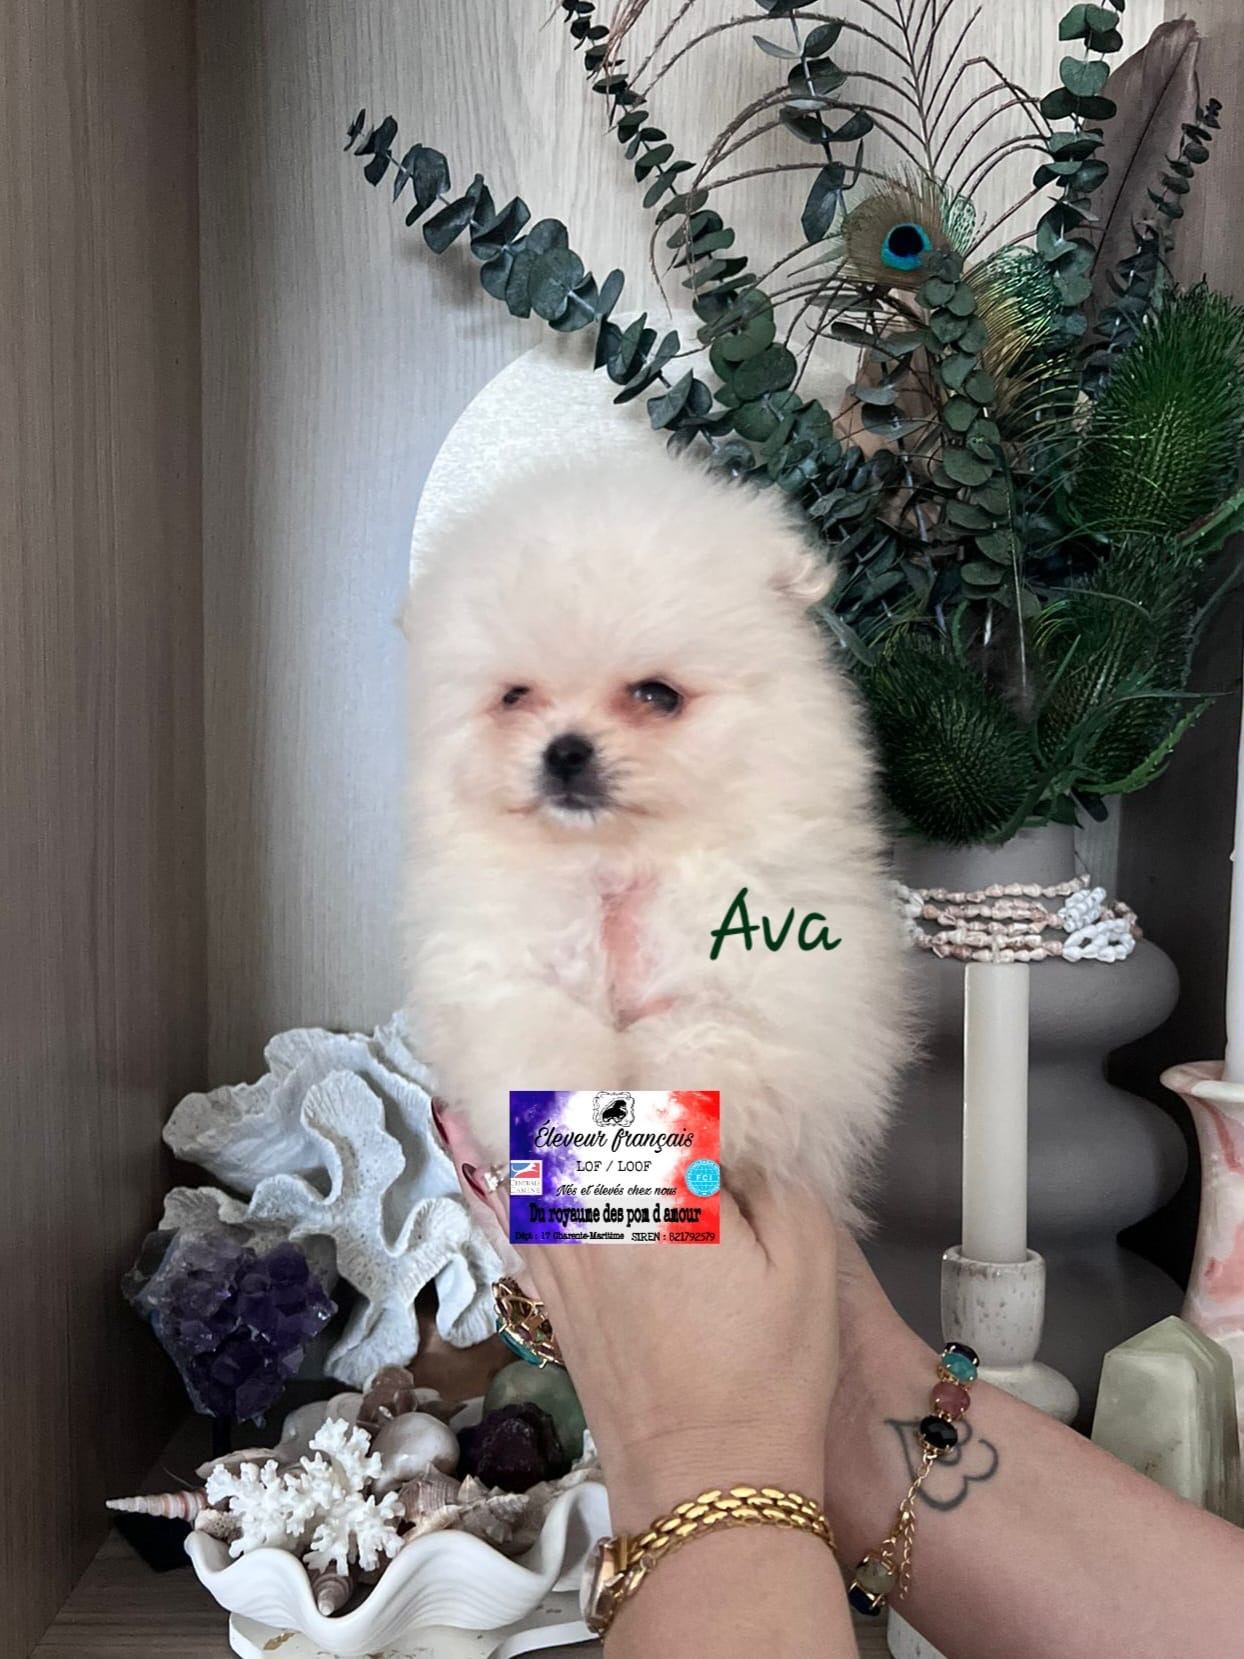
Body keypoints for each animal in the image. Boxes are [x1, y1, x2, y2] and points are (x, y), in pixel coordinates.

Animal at [403, 450, 908, 1229]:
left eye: (657, 696)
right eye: (514, 697)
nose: (566, 751)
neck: (615, 864)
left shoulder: (763, 985)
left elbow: (698, 1044)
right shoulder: (499, 975)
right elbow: (538, 1042)